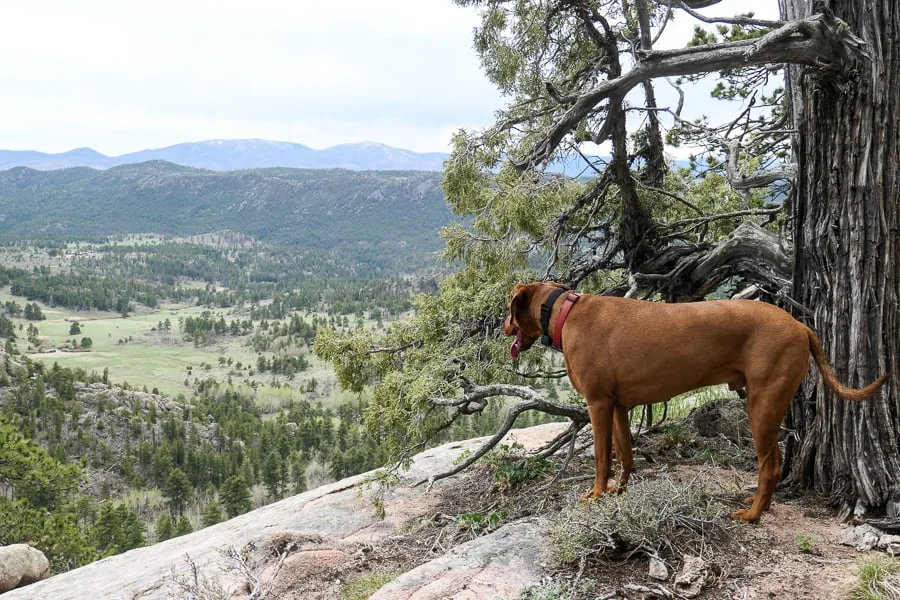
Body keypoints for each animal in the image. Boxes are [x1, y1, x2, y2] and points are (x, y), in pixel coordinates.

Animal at [502, 282, 888, 520]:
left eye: (508, 309)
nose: (502, 327)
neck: (564, 311)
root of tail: (800, 326)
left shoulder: (598, 403)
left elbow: (601, 457)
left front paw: (596, 494)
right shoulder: (618, 406)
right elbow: (626, 456)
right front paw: (618, 492)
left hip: (761, 406)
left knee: (770, 467)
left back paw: (752, 515)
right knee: (774, 465)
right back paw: (758, 506)